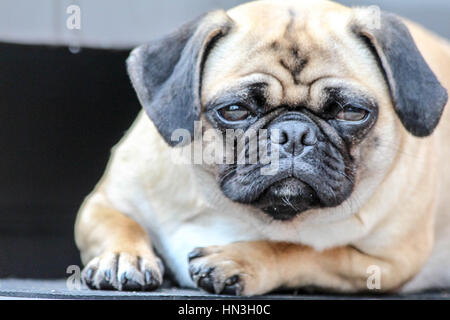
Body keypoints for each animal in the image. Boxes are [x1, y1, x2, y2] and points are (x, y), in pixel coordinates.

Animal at [75, 0, 448, 296]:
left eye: (352, 112)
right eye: (234, 110)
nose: (295, 133)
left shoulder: (384, 264)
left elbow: (304, 250)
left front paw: (239, 258)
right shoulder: (103, 202)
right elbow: (118, 222)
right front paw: (124, 256)